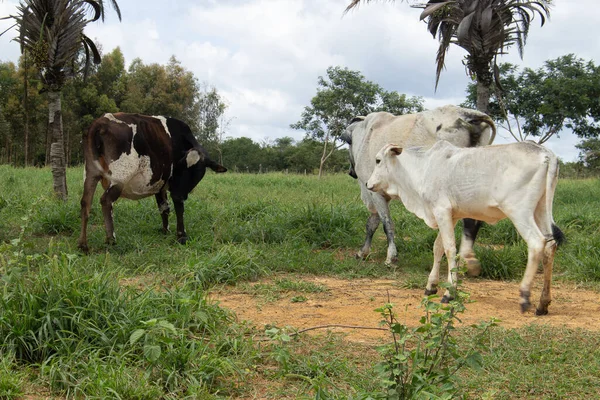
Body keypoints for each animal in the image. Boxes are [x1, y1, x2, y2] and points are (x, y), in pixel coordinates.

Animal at [78, 111, 227, 252]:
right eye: (182, 165)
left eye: (198, 168)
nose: (179, 194)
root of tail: (101, 122)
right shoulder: (174, 188)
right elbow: (179, 208)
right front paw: (181, 236)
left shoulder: (160, 185)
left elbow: (164, 208)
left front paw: (166, 231)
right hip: (119, 177)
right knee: (106, 201)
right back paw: (111, 240)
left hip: (90, 174)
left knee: (85, 203)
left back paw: (83, 245)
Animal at [342, 104, 496, 272]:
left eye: (348, 143)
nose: (351, 172)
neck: (364, 135)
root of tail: (468, 114)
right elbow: (372, 224)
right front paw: (363, 252)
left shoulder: (374, 192)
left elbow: (386, 224)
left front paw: (391, 258)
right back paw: (468, 259)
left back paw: (463, 259)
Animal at [366, 141, 568, 316]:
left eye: (378, 160)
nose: (368, 184)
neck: (423, 168)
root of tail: (546, 153)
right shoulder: (451, 215)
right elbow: (437, 248)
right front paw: (431, 286)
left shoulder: (441, 210)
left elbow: (450, 249)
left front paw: (449, 293)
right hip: (541, 210)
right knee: (550, 246)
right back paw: (543, 304)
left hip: (519, 212)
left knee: (536, 243)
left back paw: (525, 296)